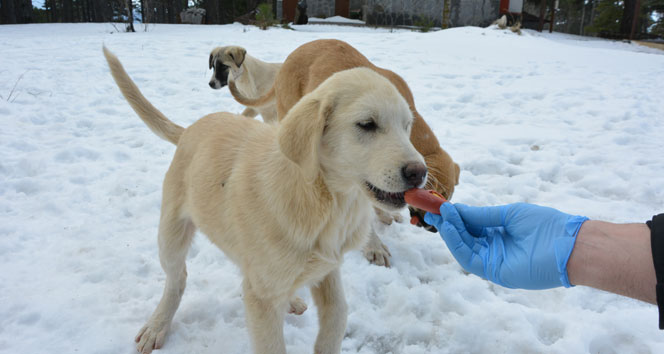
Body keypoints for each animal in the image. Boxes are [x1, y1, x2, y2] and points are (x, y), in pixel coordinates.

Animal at [104, 47, 426, 354]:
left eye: (407, 126)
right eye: (367, 124)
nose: (419, 173)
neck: (326, 198)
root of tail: (190, 129)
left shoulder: (328, 269)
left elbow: (337, 317)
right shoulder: (262, 300)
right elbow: (272, 344)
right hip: (171, 233)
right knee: (177, 278)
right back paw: (157, 325)